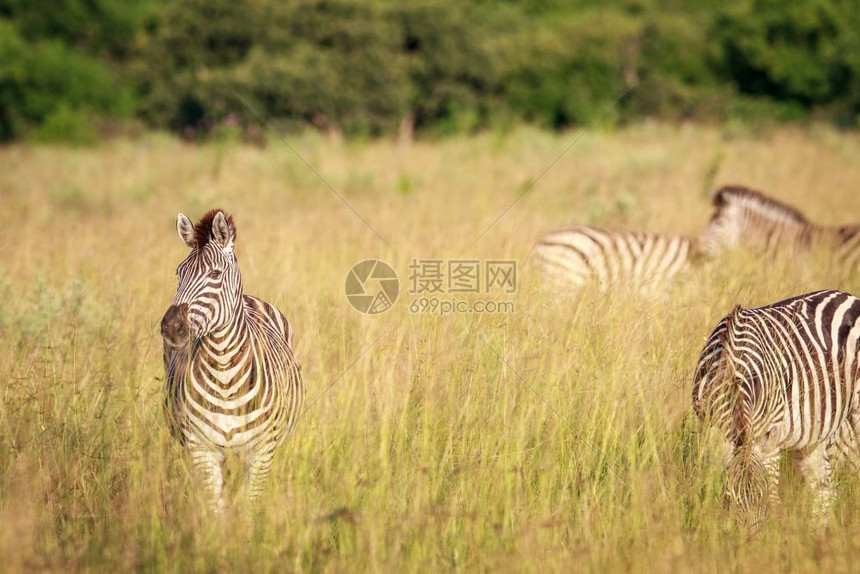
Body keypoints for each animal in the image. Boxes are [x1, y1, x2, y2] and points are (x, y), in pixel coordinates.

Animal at [161, 209, 306, 516]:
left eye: (215, 274)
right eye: (179, 273)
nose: (170, 328)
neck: (225, 374)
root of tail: (251, 297)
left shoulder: (261, 451)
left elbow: (250, 508)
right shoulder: (201, 449)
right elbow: (216, 512)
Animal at [692, 290, 860, 524]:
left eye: (762, 501)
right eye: (731, 498)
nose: (748, 534)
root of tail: (846, 295)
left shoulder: (769, 437)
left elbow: (772, 489)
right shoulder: (712, 429)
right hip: (813, 434)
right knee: (823, 492)